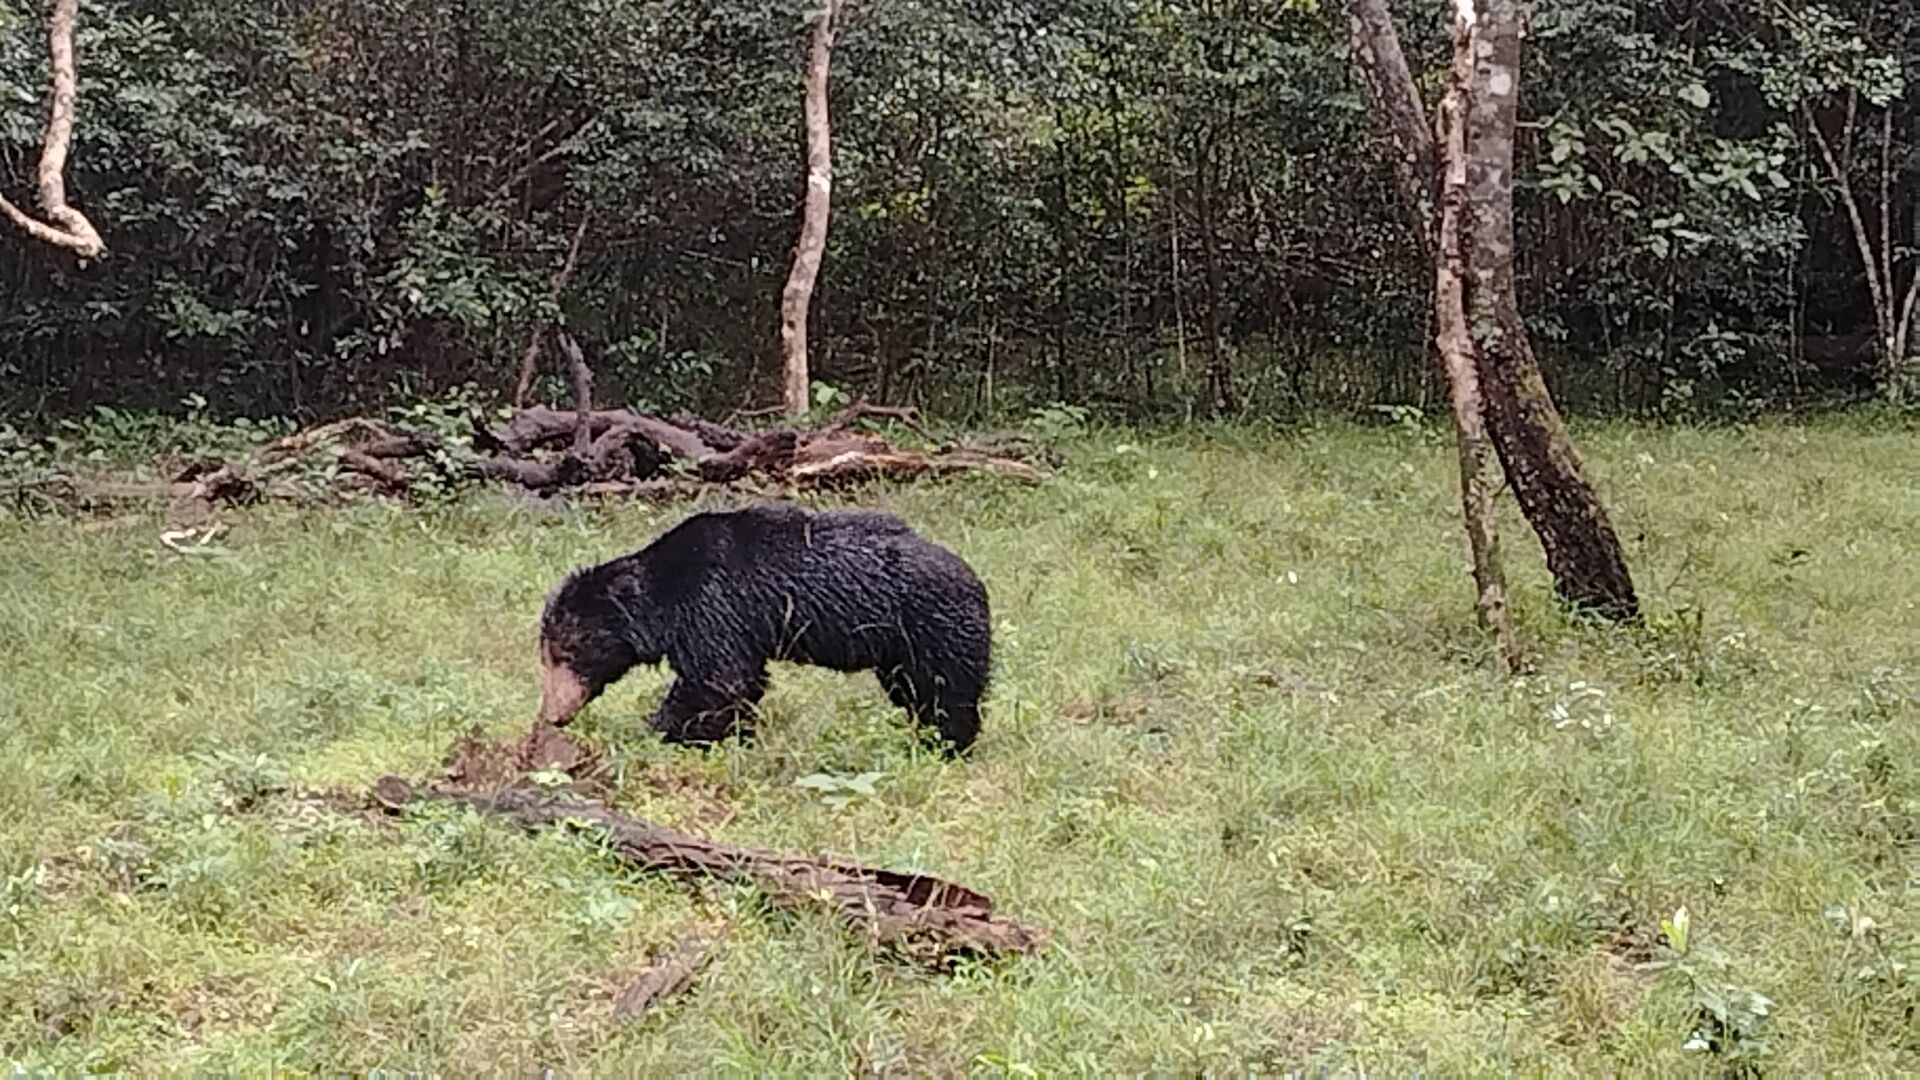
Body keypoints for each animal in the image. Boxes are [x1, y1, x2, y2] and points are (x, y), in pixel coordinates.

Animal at [532, 500, 992, 755]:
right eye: (547, 658)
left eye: (566, 654)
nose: (554, 715)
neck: (662, 601)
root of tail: (975, 580)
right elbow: (741, 683)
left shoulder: (713, 606)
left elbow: (716, 680)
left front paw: (660, 731)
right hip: (899, 652)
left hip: (934, 627)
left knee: (949, 692)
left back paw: (950, 745)